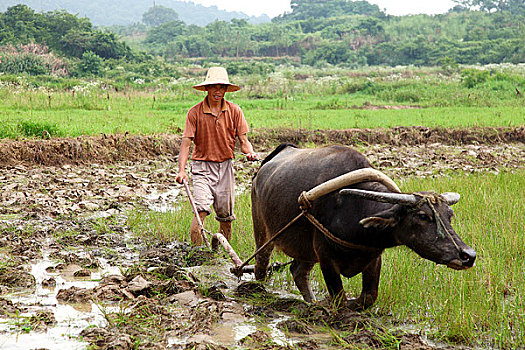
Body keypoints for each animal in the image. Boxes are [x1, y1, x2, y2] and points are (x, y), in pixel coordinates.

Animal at [250, 144, 474, 308]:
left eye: (449, 216)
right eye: (422, 216)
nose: (468, 256)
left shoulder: (373, 256)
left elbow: (368, 297)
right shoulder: (325, 257)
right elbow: (339, 299)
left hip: (305, 250)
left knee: (298, 271)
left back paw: (312, 302)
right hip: (262, 232)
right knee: (261, 265)